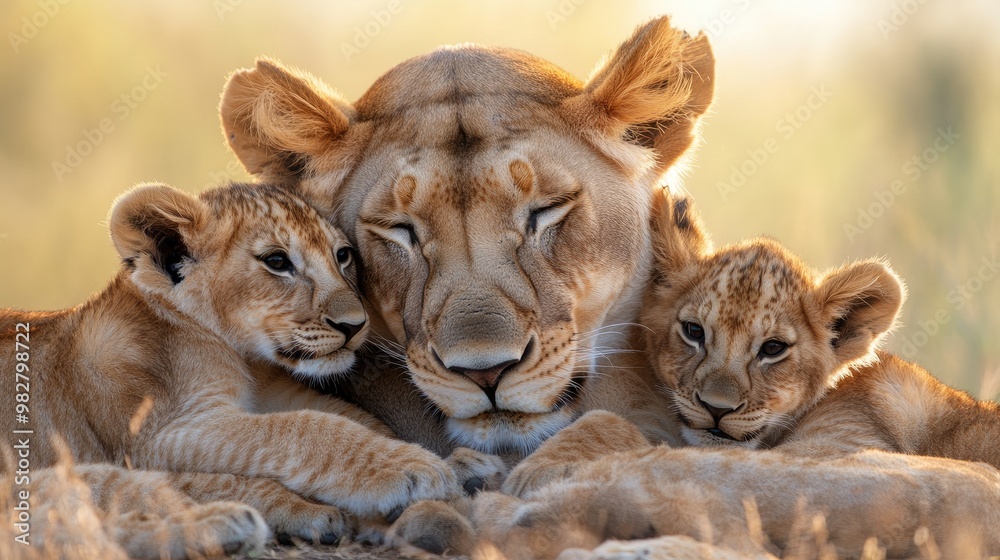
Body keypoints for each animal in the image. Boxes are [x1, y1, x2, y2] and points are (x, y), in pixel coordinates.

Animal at [0, 181, 505, 558]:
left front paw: (455, 462)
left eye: (342, 255)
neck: (246, 359)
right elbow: (307, 429)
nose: (354, 325)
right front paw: (409, 470)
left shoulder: (277, 392)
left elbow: (354, 420)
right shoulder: (163, 430)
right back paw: (245, 521)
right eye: (277, 262)